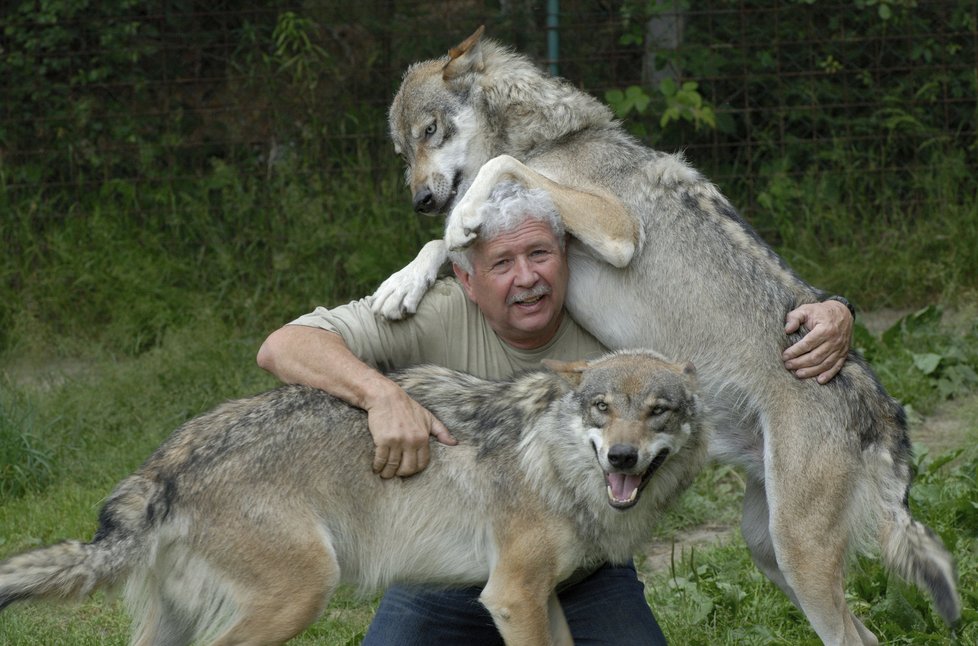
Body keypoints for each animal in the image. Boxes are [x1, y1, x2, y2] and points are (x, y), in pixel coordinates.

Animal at [0, 354, 704, 646]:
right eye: (602, 408)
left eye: (658, 411)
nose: (621, 458)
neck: (555, 460)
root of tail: (162, 469)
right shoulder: (512, 596)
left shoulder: (539, 598)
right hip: (301, 594)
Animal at [374, 26, 960, 646]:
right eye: (403, 152)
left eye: (430, 131)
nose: (420, 200)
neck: (550, 138)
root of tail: (888, 411)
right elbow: (442, 244)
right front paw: (401, 284)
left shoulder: (617, 230)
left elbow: (499, 173)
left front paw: (460, 220)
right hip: (769, 547)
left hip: (800, 553)